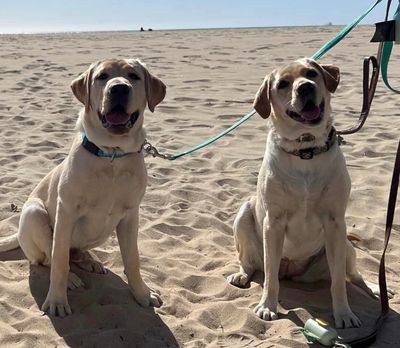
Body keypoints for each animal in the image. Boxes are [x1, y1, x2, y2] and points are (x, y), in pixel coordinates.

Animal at [0, 58, 166, 316]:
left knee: (74, 253)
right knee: (49, 258)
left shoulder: (131, 215)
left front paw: (142, 294)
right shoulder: (66, 211)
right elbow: (59, 260)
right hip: (34, 212)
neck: (111, 155)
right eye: (102, 76)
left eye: (134, 76)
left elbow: (133, 260)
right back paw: (70, 278)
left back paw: (90, 261)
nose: (119, 88)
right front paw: (57, 300)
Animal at [227, 58, 382, 328]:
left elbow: (339, 283)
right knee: (251, 263)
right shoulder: (273, 223)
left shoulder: (335, 223)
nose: (306, 88)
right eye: (282, 84)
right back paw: (242, 275)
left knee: (353, 275)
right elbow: (270, 278)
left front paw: (344, 314)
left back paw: (373, 287)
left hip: (346, 248)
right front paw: (267, 306)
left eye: (311, 74)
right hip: (244, 215)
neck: (305, 149)